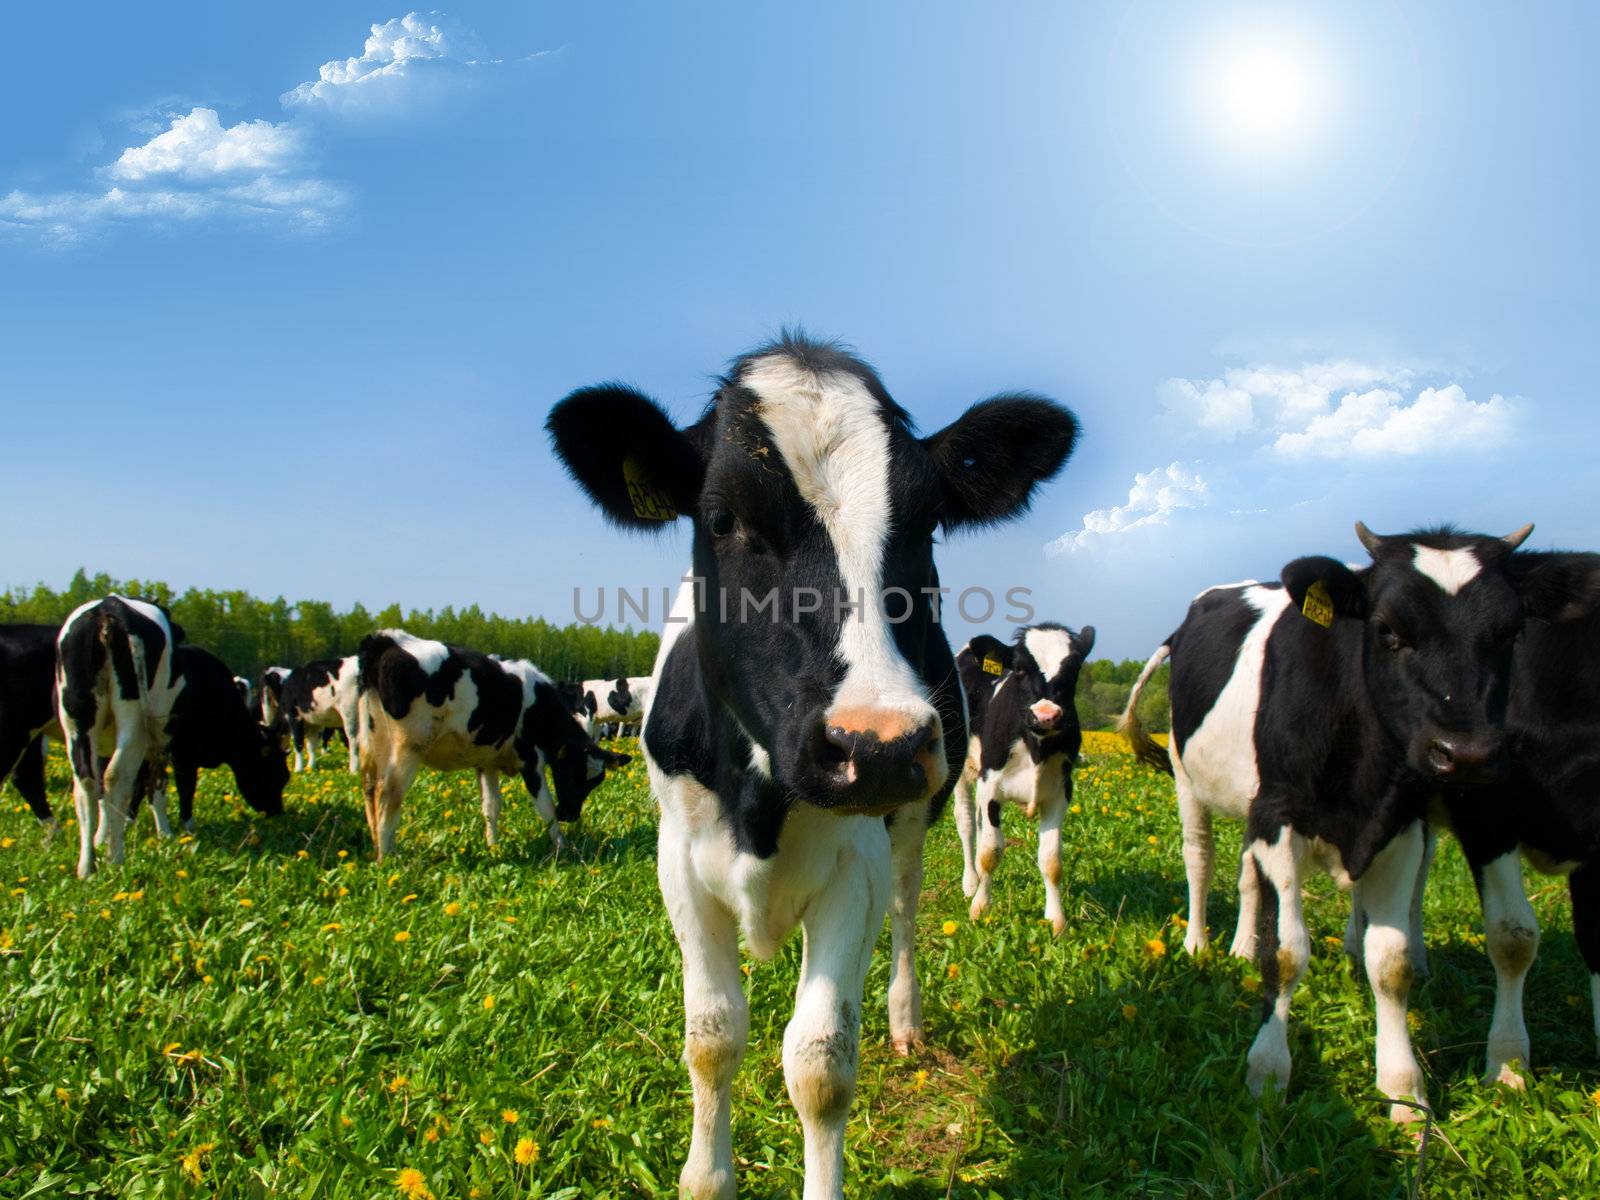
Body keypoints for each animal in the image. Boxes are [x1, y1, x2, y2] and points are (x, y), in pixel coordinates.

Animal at [358, 630, 630, 864]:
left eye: (594, 782)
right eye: (573, 773)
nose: (570, 815)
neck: (542, 707)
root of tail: (386, 639)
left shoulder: (486, 762)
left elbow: (491, 807)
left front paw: (493, 847)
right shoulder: (531, 759)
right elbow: (545, 807)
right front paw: (563, 848)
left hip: (374, 743)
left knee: (370, 790)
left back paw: (376, 846)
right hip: (408, 746)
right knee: (388, 793)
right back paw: (388, 857)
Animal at [953, 624, 1094, 934]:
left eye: (1074, 668)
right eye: (1019, 669)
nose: (1046, 715)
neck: (1036, 747)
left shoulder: (1060, 793)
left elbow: (1051, 861)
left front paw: (1056, 921)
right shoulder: (991, 787)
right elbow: (991, 852)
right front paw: (980, 908)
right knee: (967, 822)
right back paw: (970, 883)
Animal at [1120, 521, 1593, 1126]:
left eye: (1511, 634)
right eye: (1387, 629)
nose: (1466, 754)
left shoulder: (1401, 825)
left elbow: (1390, 963)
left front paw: (1404, 1091)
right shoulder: (1281, 816)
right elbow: (1287, 951)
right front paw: (1268, 1071)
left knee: (1251, 876)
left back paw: (1247, 947)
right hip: (1188, 778)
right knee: (1200, 858)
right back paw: (1199, 945)